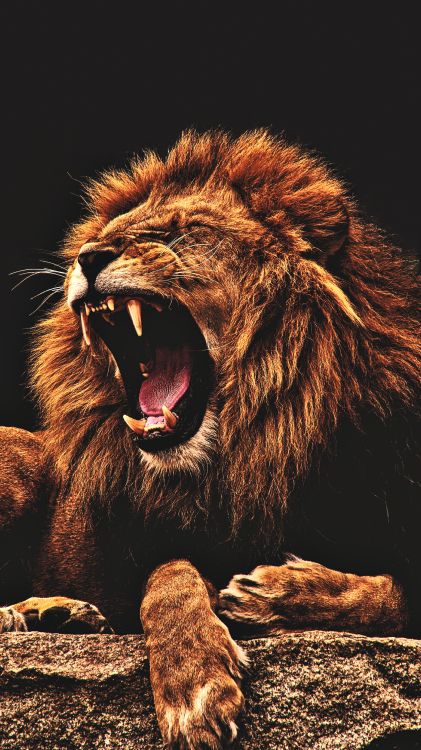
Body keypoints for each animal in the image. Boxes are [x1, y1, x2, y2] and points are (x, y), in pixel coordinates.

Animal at [0, 130, 420, 749]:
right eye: (102, 238)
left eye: (180, 231)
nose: (88, 257)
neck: (252, 449)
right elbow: (170, 572)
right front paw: (194, 685)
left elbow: (390, 596)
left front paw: (277, 594)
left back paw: (61, 615)